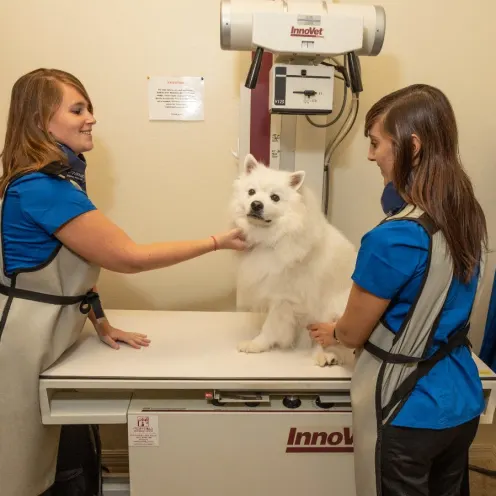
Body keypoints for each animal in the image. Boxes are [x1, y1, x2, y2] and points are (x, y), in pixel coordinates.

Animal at [231, 153, 358, 366]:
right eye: (251, 192)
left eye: (275, 197)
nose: (256, 204)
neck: (274, 237)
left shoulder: (282, 298)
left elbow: (270, 326)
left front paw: (257, 344)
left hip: (333, 310)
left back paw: (325, 355)